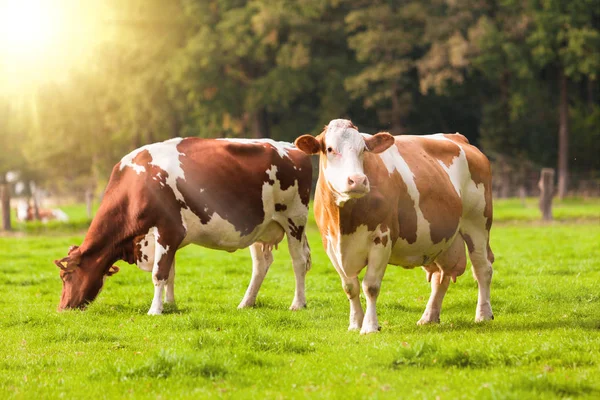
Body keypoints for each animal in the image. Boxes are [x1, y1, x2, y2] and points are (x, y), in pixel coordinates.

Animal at [54, 138, 312, 316]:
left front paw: (155, 310)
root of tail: (292, 147)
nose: (62, 308)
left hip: (294, 219)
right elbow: (170, 273)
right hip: (261, 228)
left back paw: (297, 303)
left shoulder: (168, 230)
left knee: (299, 262)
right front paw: (169, 304)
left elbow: (159, 274)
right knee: (261, 265)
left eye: (66, 276)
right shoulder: (166, 239)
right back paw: (246, 303)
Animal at [292, 119, 494, 334]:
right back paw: (429, 317)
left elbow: (370, 286)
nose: (358, 180)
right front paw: (355, 324)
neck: (345, 223)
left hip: (478, 224)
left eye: (363, 149)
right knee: (441, 276)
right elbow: (350, 287)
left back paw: (483, 314)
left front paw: (370, 326)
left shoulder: (382, 238)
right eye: (330, 149)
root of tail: (457, 137)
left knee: (482, 268)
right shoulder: (330, 244)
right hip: (440, 238)